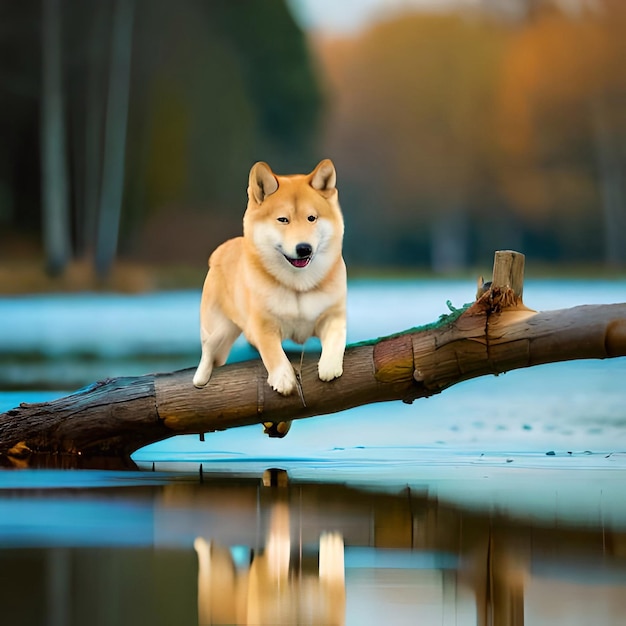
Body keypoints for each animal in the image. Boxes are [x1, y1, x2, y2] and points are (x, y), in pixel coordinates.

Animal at [191, 158, 346, 398]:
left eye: (312, 218)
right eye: (283, 219)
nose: (304, 248)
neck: (298, 285)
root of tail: (223, 249)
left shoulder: (333, 314)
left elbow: (337, 336)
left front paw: (329, 365)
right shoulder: (263, 324)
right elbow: (273, 353)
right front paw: (283, 378)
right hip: (217, 328)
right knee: (208, 349)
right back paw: (201, 376)